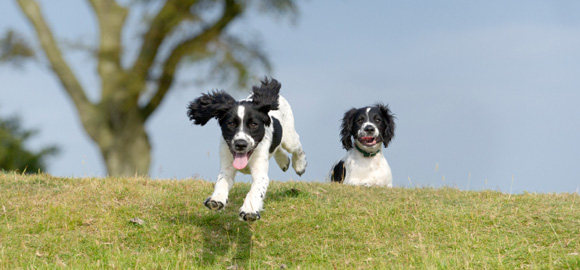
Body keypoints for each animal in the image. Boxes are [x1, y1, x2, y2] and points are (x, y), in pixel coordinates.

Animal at [189, 78, 308, 221]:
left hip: (289, 137)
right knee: (278, 148)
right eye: (231, 124)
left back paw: (299, 166)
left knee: (296, 147)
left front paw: (249, 210)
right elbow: (221, 182)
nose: (241, 144)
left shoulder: (260, 171)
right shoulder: (227, 167)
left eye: (253, 124)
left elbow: (256, 190)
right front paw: (216, 199)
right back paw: (284, 162)